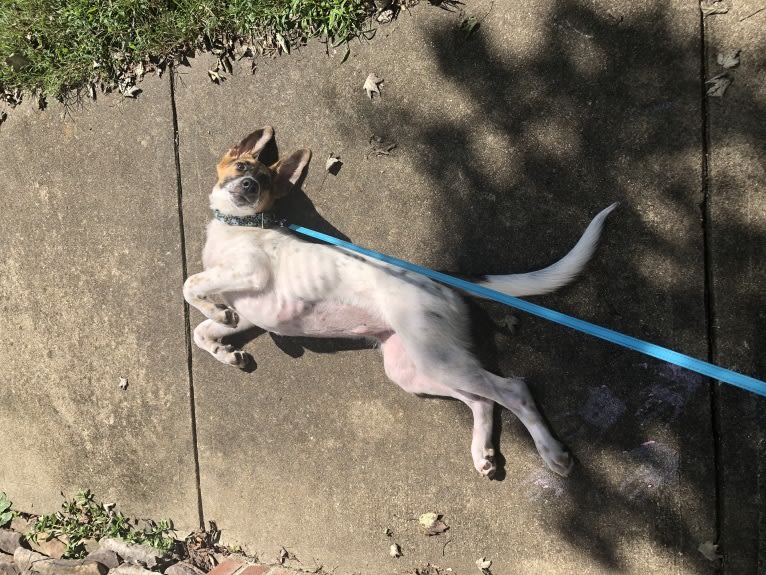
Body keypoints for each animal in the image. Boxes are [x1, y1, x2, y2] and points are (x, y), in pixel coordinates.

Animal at [186, 127, 616, 482]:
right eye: (242, 166)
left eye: (264, 182)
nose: (247, 186)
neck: (240, 226)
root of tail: (440, 280)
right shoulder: (247, 310)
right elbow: (201, 331)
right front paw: (227, 349)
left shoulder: (250, 273)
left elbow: (191, 286)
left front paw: (212, 312)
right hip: (414, 367)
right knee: (482, 400)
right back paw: (483, 453)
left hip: (433, 357)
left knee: (514, 389)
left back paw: (552, 453)